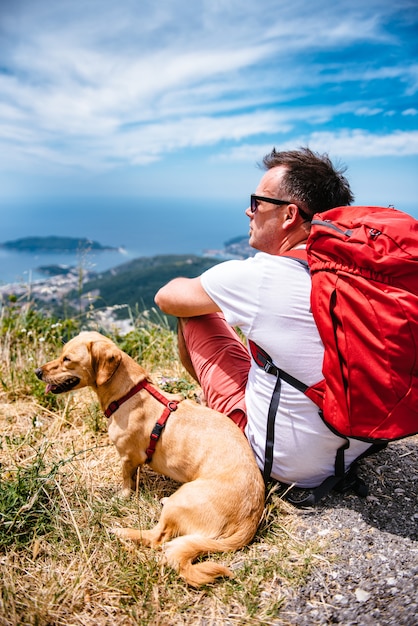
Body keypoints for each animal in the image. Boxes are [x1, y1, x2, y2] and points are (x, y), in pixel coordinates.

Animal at [36, 332, 264, 584]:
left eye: (67, 359)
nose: (37, 372)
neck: (129, 392)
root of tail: (249, 521)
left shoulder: (127, 457)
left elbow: (126, 482)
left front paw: (122, 496)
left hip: (181, 500)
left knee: (156, 538)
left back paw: (122, 531)